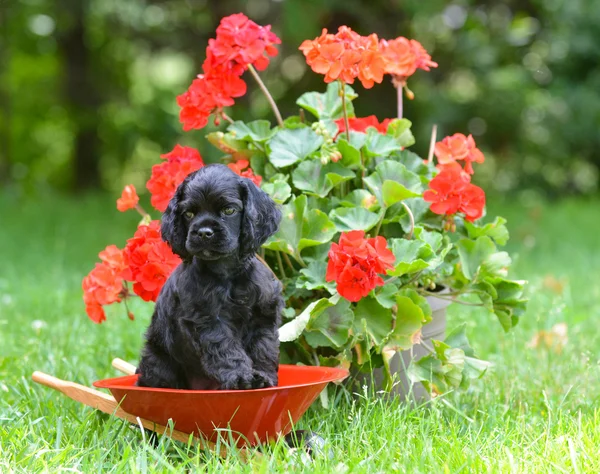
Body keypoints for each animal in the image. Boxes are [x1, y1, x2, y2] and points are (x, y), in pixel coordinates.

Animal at [137, 165, 282, 390]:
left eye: (229, 210)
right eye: (188, 213)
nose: (204, 232)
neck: (227, 274)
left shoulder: (263, 315)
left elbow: (263, 348)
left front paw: (264, 377)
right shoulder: (207, 319)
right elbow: (226, 349)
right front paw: (241, 378)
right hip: (158, 360)